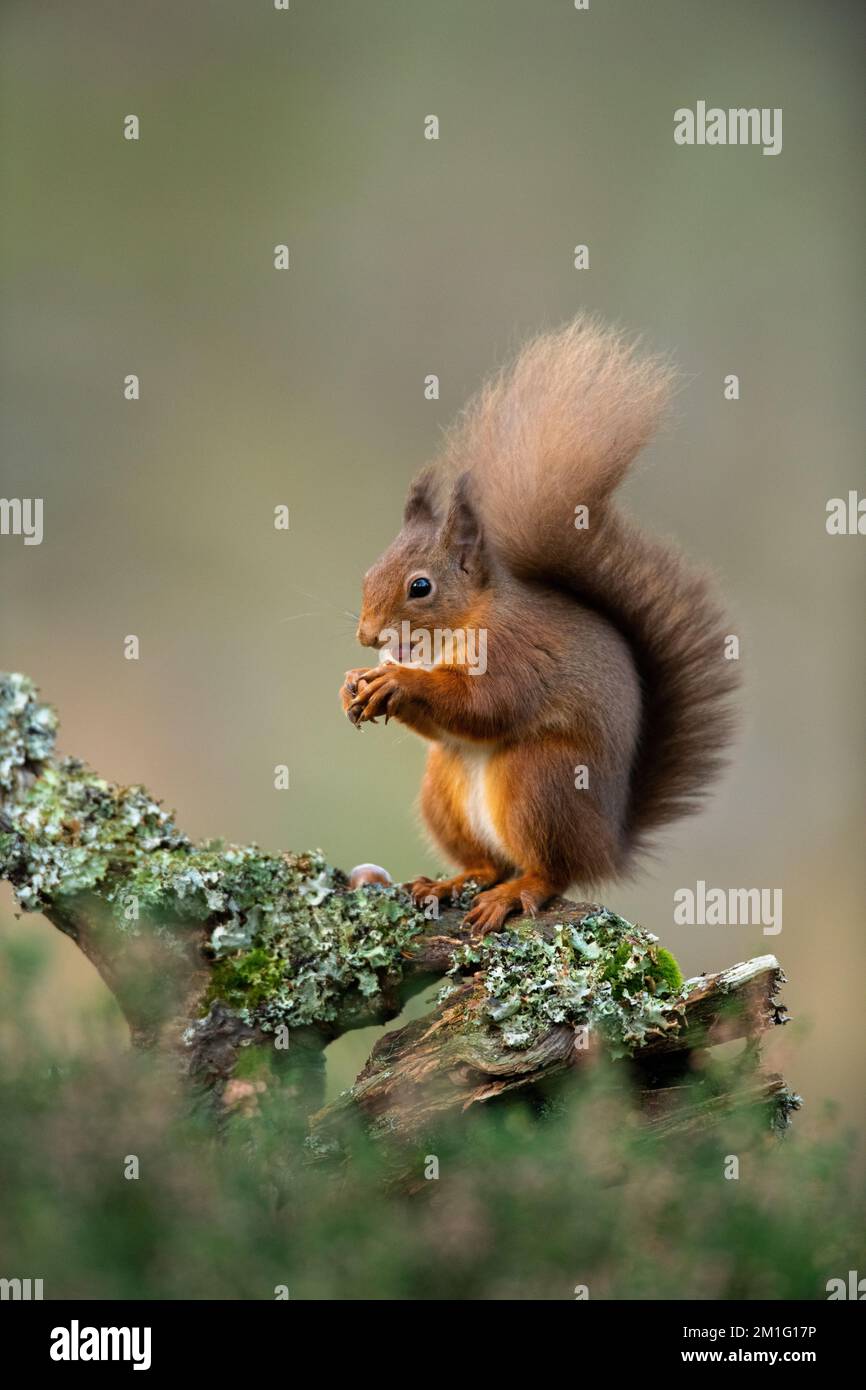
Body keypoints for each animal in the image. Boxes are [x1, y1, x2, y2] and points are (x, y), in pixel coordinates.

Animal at [340, 317, 738, 933]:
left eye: (420, 587)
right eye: (368, 572)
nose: (366, 636)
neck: (458, 627)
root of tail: (607, 845)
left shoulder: (517, 652)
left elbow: (487, 705)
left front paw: (397, 682)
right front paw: (353, 685)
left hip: (540, 782)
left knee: (550, 872)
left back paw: (513, 893)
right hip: (443, 789)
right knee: (489, 861)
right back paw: (454, 880)